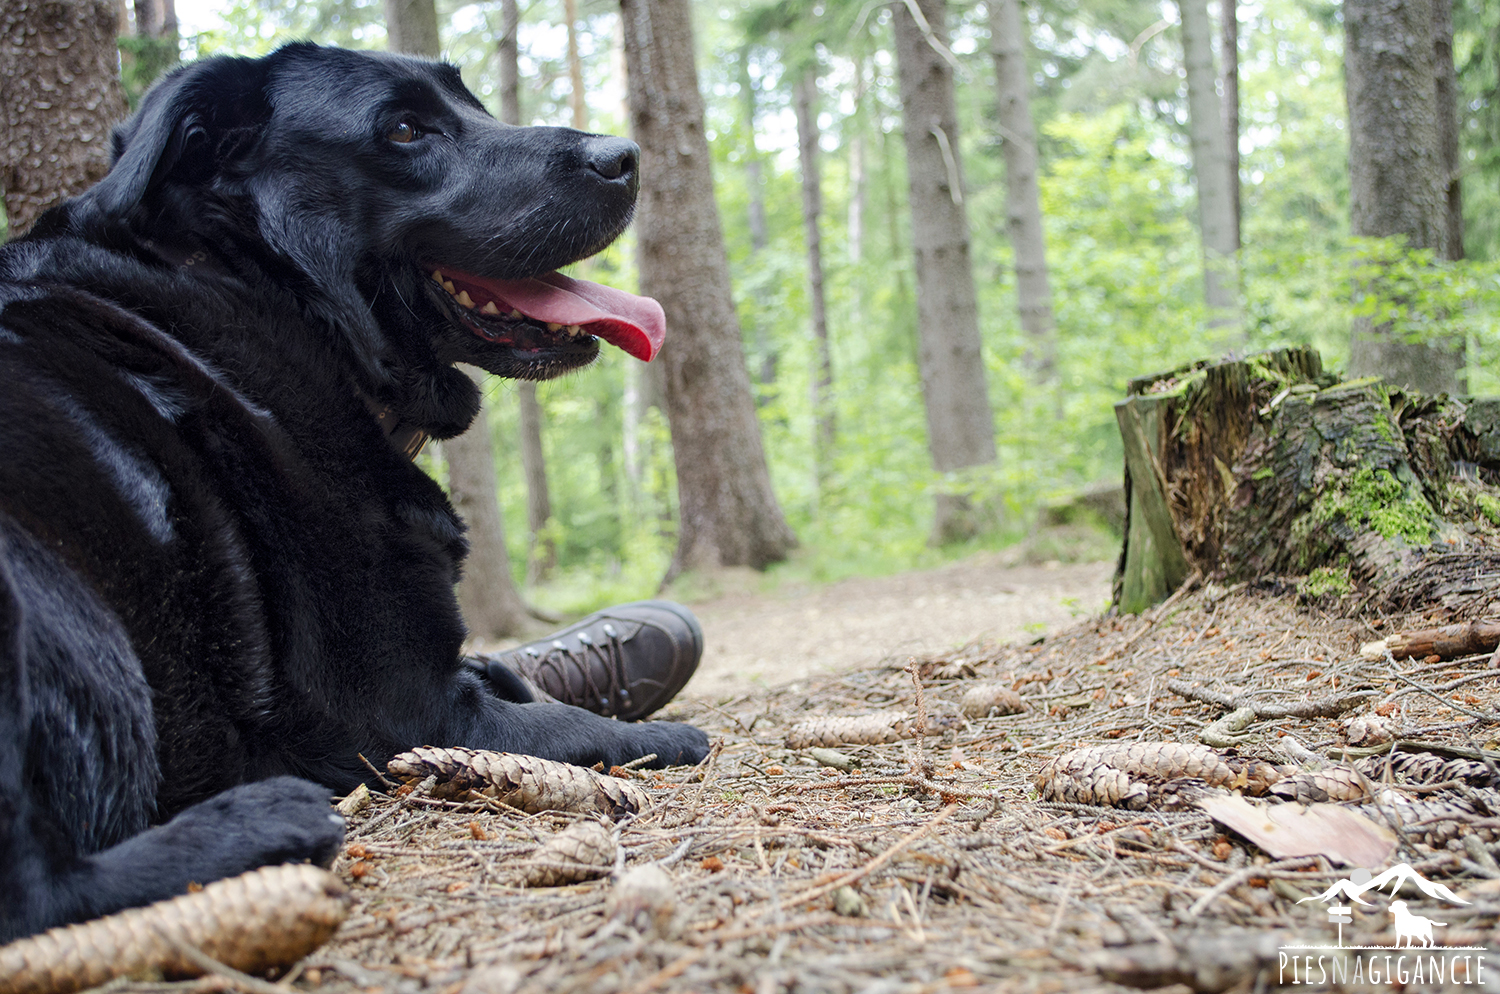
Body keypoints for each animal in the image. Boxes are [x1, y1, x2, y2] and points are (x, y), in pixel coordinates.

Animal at [0, 42, 708, 941]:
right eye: (403, 130)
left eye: (473, 103)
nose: (626, 156)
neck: (276, 296)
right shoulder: (410, 711)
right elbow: (576, 724)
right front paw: (667, 733)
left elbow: (509, 672)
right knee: (34, 890)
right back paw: (265, 819)